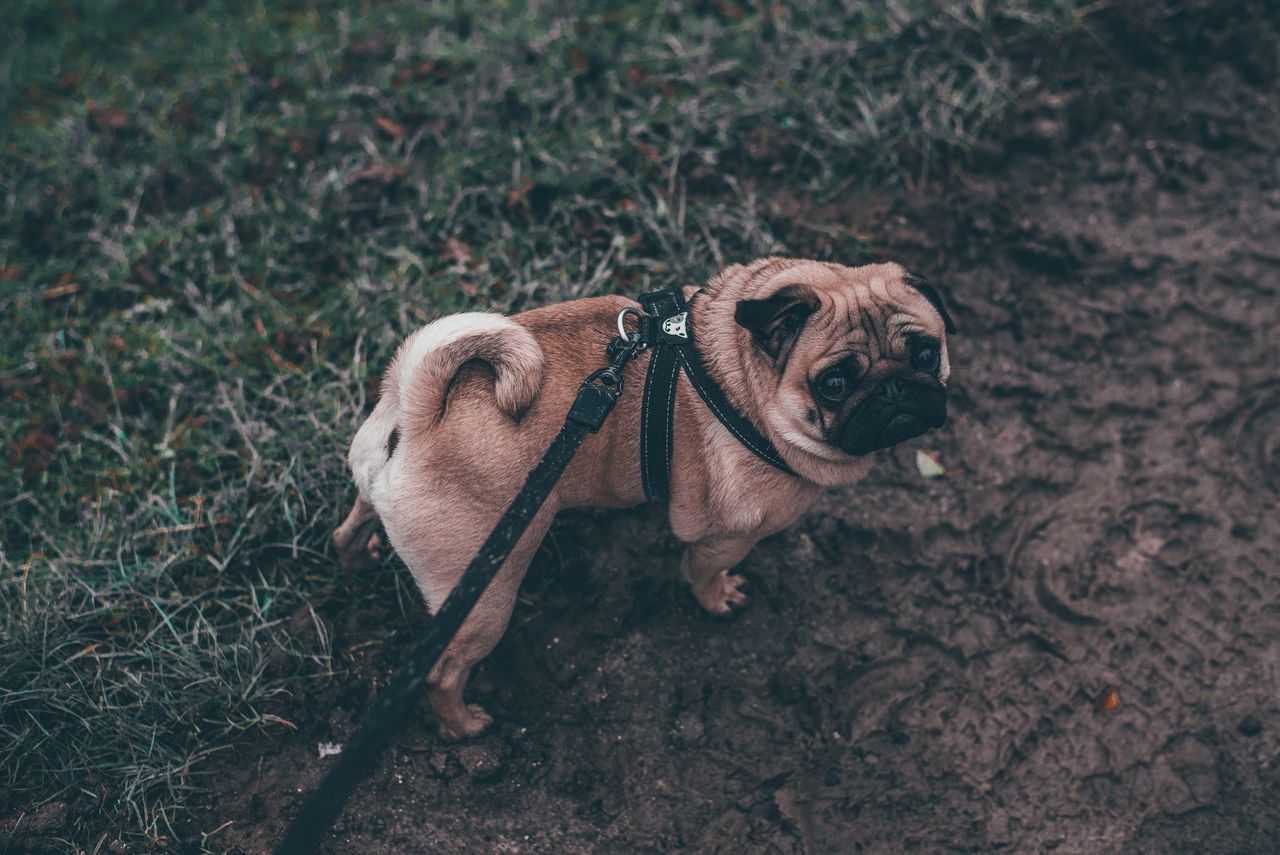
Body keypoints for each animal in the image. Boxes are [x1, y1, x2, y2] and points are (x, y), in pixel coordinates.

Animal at [330, 257, 952, 737]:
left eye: (926, 354)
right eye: (835, 384)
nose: (895, 390)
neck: (746, 383)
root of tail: (418, 413)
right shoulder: (726, 535)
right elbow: (701, 573)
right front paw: (718, 599)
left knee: (348, 529)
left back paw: (359, 556)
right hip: (484, 593)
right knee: (442, 672)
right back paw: (462, 727)